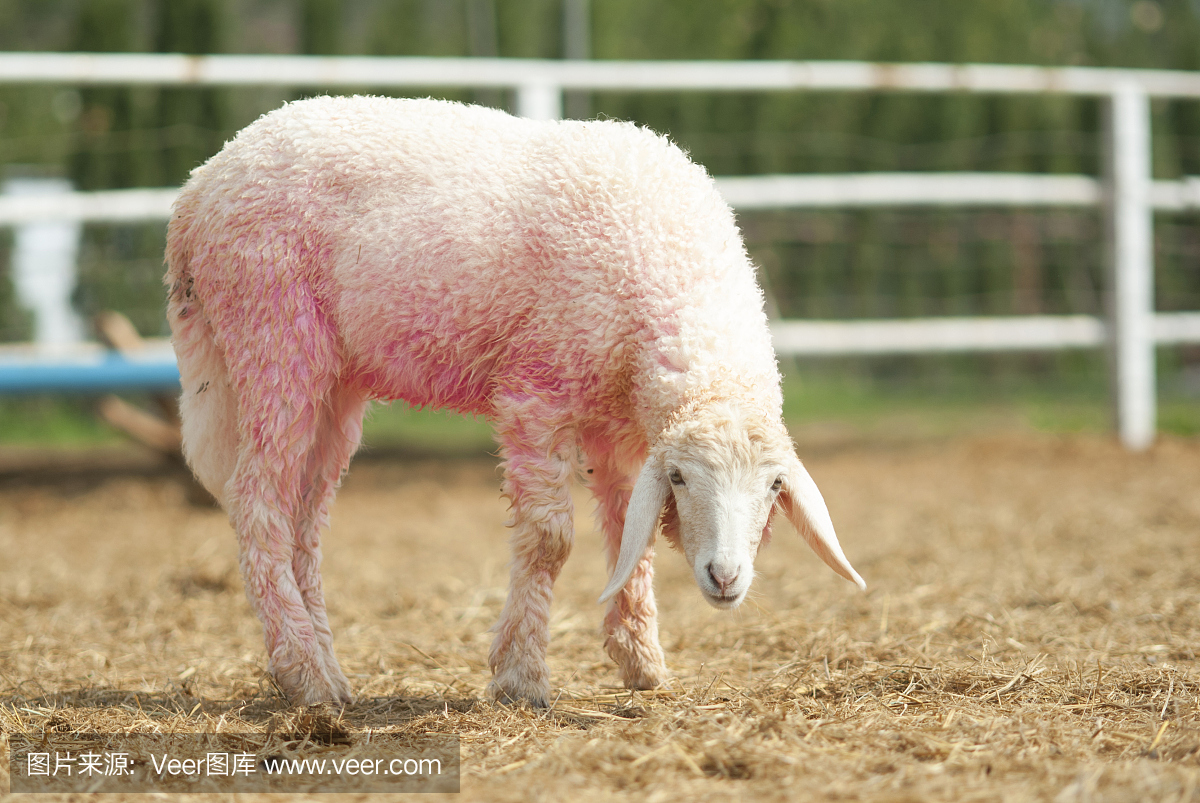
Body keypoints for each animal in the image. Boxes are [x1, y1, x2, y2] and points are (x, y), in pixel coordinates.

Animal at [166, 95, 864, 705]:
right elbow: (550, 538)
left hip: (336, 383)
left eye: (775, 486)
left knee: (305, 519)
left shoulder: (620, 427)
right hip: (273, 334)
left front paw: (641, 660)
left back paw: (327, 672)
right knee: (259, 504)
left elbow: (627, 533)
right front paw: (520, 677)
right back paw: (303, 675)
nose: (725, 577)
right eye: (682, 480)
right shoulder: (537, 393)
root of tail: (200, 186)